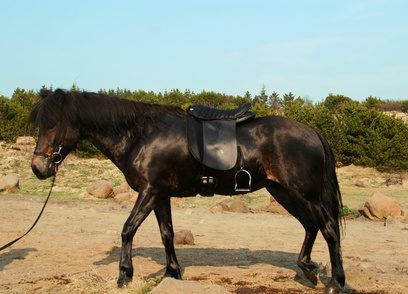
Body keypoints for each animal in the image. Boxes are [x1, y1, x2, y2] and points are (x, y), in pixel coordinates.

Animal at [30, 89, 346, 292]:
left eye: (53, 124)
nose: (38, 168)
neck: (141, 135)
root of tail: (313, 132)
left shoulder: (149, 192)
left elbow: (127, 229)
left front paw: (124, 275)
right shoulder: (160, 195)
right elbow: (166, 234)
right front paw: (172, 273)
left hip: (303, 193)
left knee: (329, 229)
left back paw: (335, 283)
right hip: (283, 192)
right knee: (311, 226)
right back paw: (308, 269)